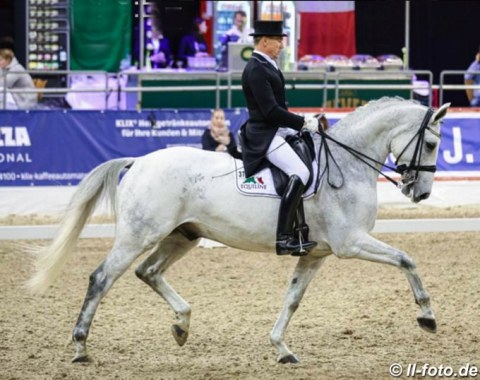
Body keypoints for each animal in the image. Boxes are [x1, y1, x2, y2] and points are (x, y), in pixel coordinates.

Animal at [28, 98, 450, 366]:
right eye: (431, 143)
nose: (422, 193)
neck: (346, 163)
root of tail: (140, 160)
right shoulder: (351, 243)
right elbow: (407, 260)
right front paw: (427, 317)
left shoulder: (316, 253)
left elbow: (292, 299)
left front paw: (281, 348)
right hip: (139, 235)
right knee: (102, 278)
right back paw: (81, 348)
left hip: (182, 235)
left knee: (147, 271)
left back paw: (181, 324)